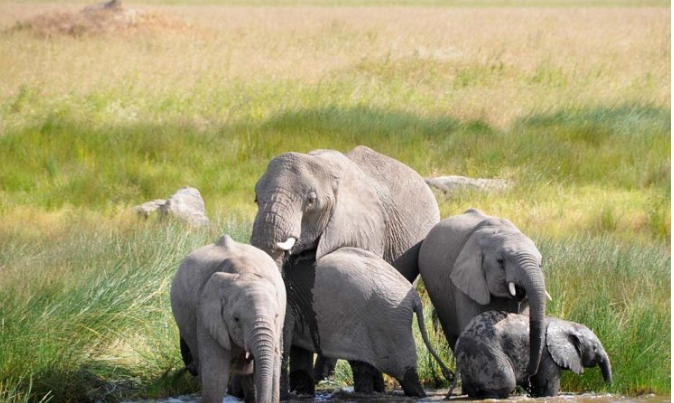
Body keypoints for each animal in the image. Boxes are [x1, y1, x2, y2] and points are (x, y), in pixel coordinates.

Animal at [169, 235, 284, 403]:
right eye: (236, 319)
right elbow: (215, 379)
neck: (244, 271)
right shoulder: (206, 316)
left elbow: (273, 375)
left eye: (276, 316)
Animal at [448, 310, 612, 400]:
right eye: (594, 348)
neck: (565, 324)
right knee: (506, 382)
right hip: (486, 353)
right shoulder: (548, 354)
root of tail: (459, 346)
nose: (608, 388)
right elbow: (550, 385)